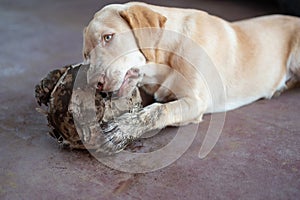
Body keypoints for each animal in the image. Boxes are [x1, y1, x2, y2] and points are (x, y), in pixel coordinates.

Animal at [82, 1, 300, 153]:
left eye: (108, 37)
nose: (94, 84)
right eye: (86, 55)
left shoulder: (196, 102)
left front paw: (122, 129)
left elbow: (157, 110)